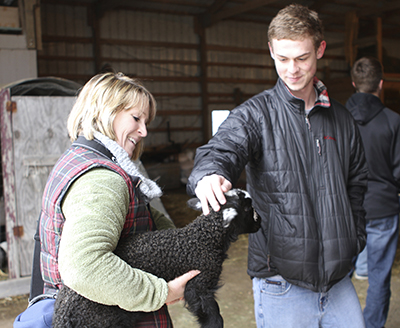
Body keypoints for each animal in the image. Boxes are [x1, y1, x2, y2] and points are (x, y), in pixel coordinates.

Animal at [53, 188, 260, 328]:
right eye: (248, 209)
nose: (260, 223)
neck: (204, 238)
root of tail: (62, 315)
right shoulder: (199, 284)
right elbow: (212, 314)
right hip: (101, 321)